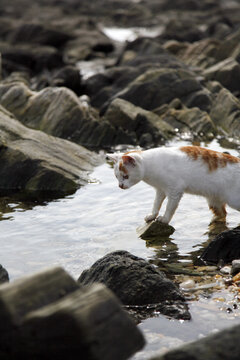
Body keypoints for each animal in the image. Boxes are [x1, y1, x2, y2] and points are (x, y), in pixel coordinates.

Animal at [107, 146, 240, 225]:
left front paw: (164, 219)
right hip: (214, 201)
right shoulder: (160, 189)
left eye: (125, 176)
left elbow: (169, 208)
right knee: (223, 213)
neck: (151, 165)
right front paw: (152, 215)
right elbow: (156, 204)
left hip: (234, 200)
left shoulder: (175, 190)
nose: (120, 185)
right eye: (116, 177)